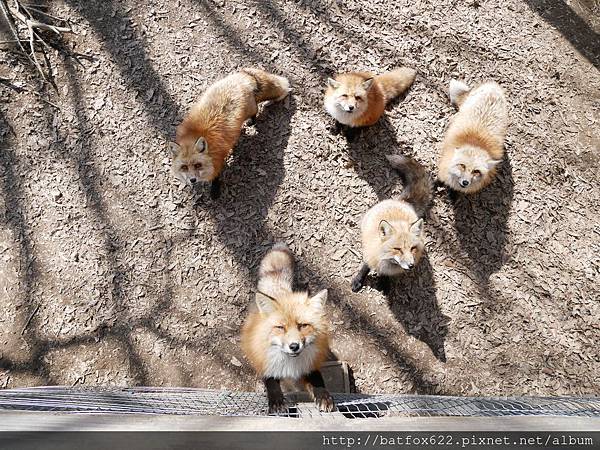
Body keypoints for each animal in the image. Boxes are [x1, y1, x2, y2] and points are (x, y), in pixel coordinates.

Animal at [169, 68, 290, 197]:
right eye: (184, 167)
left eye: (198, 165)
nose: (192, 180)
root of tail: (242, 77)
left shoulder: (218, 162)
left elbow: (216, 179)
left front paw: (215, 192)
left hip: (250, 109)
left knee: (256, 111)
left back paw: (251, 122)